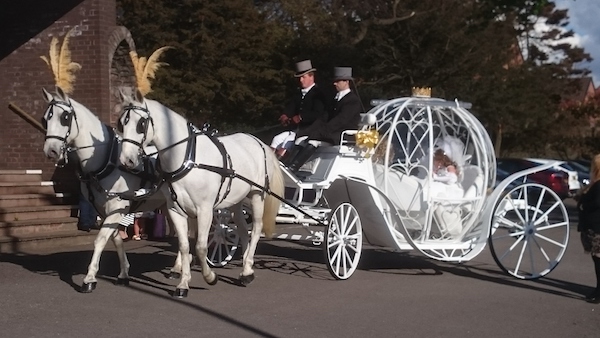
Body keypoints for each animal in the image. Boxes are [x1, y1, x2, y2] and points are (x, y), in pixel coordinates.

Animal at [40, 87, 172, 294]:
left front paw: (89, 279)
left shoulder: (118, 208)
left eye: (65, 117)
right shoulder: (104, 211)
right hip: (168, 205)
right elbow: (116, 239)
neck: (107, 161)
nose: (51, 151)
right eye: (44, 119)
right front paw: (124, 274)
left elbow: (100, 239)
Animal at [119, 90, 286, 298]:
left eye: (141, 124)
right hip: (236, 200)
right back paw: (247, 268)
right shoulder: (175, 210)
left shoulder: (205, 209)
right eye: (121, 123)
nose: (126, 160)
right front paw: (183, 283)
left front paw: (210, 277)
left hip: (257, 195)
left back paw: (247, 270)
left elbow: (200, 246)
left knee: (256, 228)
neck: (187, 158)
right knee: (242, 229)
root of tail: (258, 142)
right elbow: (184, 246)